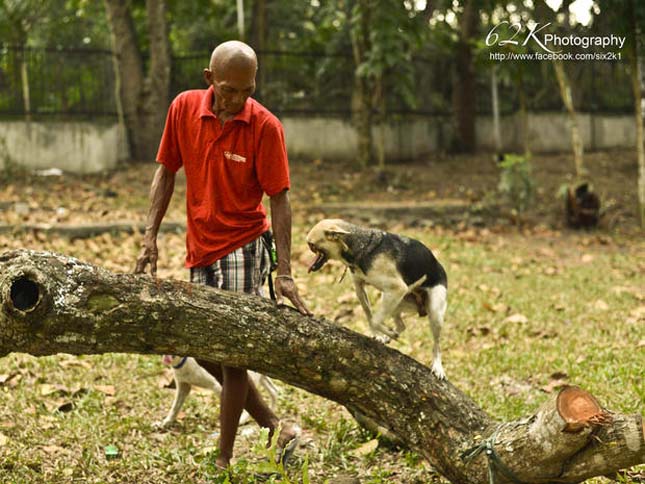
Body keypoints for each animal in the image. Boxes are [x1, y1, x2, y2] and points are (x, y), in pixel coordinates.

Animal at [306, 217, 448, 380]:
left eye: (311, 245)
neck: (361, 247)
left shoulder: (397, 288)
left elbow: (375, 319)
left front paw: (385, 332)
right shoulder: (360, 288)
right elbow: (370, 315)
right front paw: (379, 335)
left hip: (433, 312)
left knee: (436, 344)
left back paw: (437, 367)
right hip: (395, 302)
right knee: (401, 325)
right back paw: (389, 335)